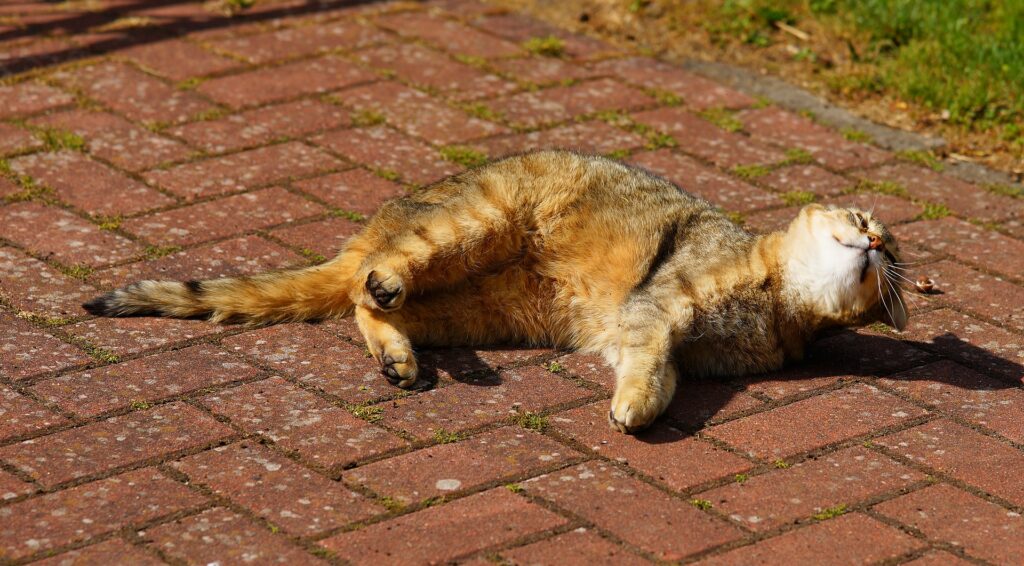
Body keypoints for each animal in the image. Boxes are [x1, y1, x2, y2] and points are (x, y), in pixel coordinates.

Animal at [83, 150, 909, 431]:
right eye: (868, 223)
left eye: (889, 251)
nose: (875, 243)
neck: (779, 300)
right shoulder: (660, 305)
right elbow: (652, 365)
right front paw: (637, 408)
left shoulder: (668, 337)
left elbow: (664, 369)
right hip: (475, 221)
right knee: (379, 277)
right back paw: (387, 285)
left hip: (483, 309)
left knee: (360, 306)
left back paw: (399, 357)